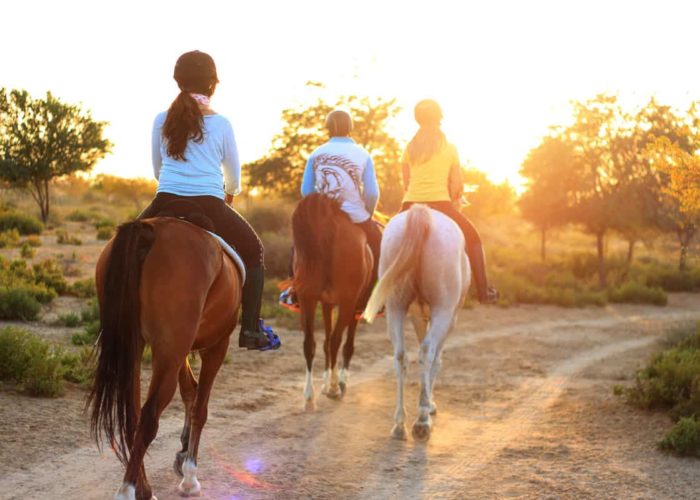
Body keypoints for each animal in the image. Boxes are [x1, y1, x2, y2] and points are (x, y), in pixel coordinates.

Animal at [89, 218, 242, 500]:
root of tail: (148, 229)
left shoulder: (178, 349)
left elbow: (190, 392)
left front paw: (182, 455)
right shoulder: (216, 346)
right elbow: (200, 407)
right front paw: (190, 475)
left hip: (138, 347)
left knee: (133, 415)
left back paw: (143, 488)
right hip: (169, 351)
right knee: (149, 418)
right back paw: (127, 489)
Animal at [288, 193, 372, 408]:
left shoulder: (326, 303)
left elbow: (325, 341)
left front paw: (325, 383)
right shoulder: (352, 305)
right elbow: (345, 345)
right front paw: (337, 382)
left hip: (307, 299)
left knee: (310, 343)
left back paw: (309, 396)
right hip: (348, 302)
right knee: (336, 341)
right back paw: (335, 388)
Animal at [360, 204, 470, 442]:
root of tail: (421, 213)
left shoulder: (417, 316)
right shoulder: (449, 318)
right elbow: (436, 359)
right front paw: (430, 404)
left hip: (395, 308)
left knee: (400, 356)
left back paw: (400, 424)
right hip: (443, 310)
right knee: (427, 352)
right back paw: (422, 421)